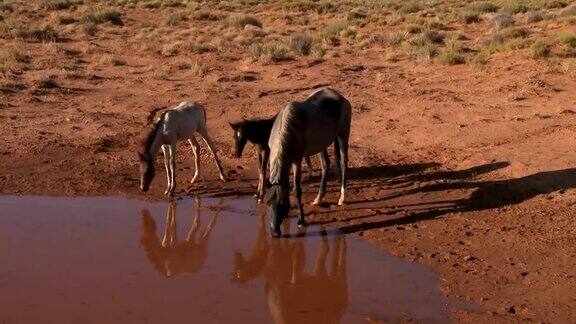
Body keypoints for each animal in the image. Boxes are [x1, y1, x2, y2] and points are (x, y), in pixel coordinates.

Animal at [266, 88, 352, 238]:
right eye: (268, 202)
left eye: (281, 203)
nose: (275, 233)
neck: (286, 129)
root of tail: (340, 97)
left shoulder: (297, 161)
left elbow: (296, 190)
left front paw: (301, 220)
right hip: (322, 144)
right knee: (326, 165)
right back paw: (319, 198)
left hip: (343, 136)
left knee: (343, 163)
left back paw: (342, 197)